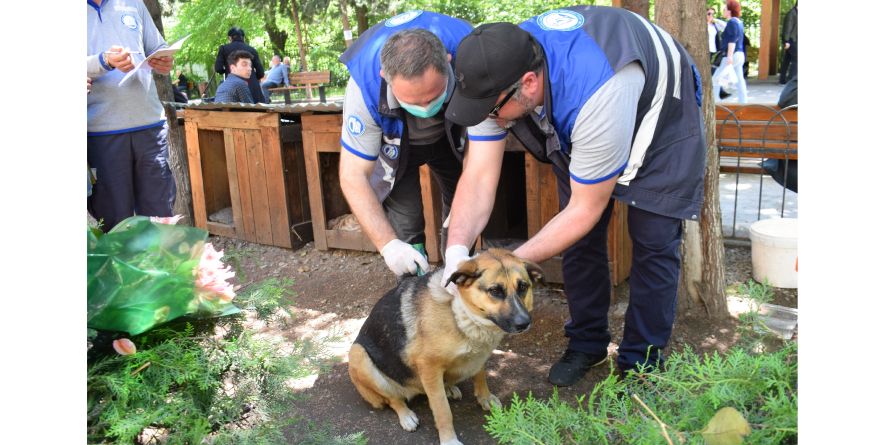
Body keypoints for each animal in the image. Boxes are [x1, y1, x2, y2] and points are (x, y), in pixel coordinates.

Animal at [346, 248, 540, 444]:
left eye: (523, 287)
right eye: (495, 291)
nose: (524, 323)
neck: (459, 313)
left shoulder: (478, 357)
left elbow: (480, 376)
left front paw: (485, 397)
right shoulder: (429, 367)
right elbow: (442, 410)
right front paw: (449, 439)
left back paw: (449, 388)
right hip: (358, 355)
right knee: (393, 399)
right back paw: (406, 415)